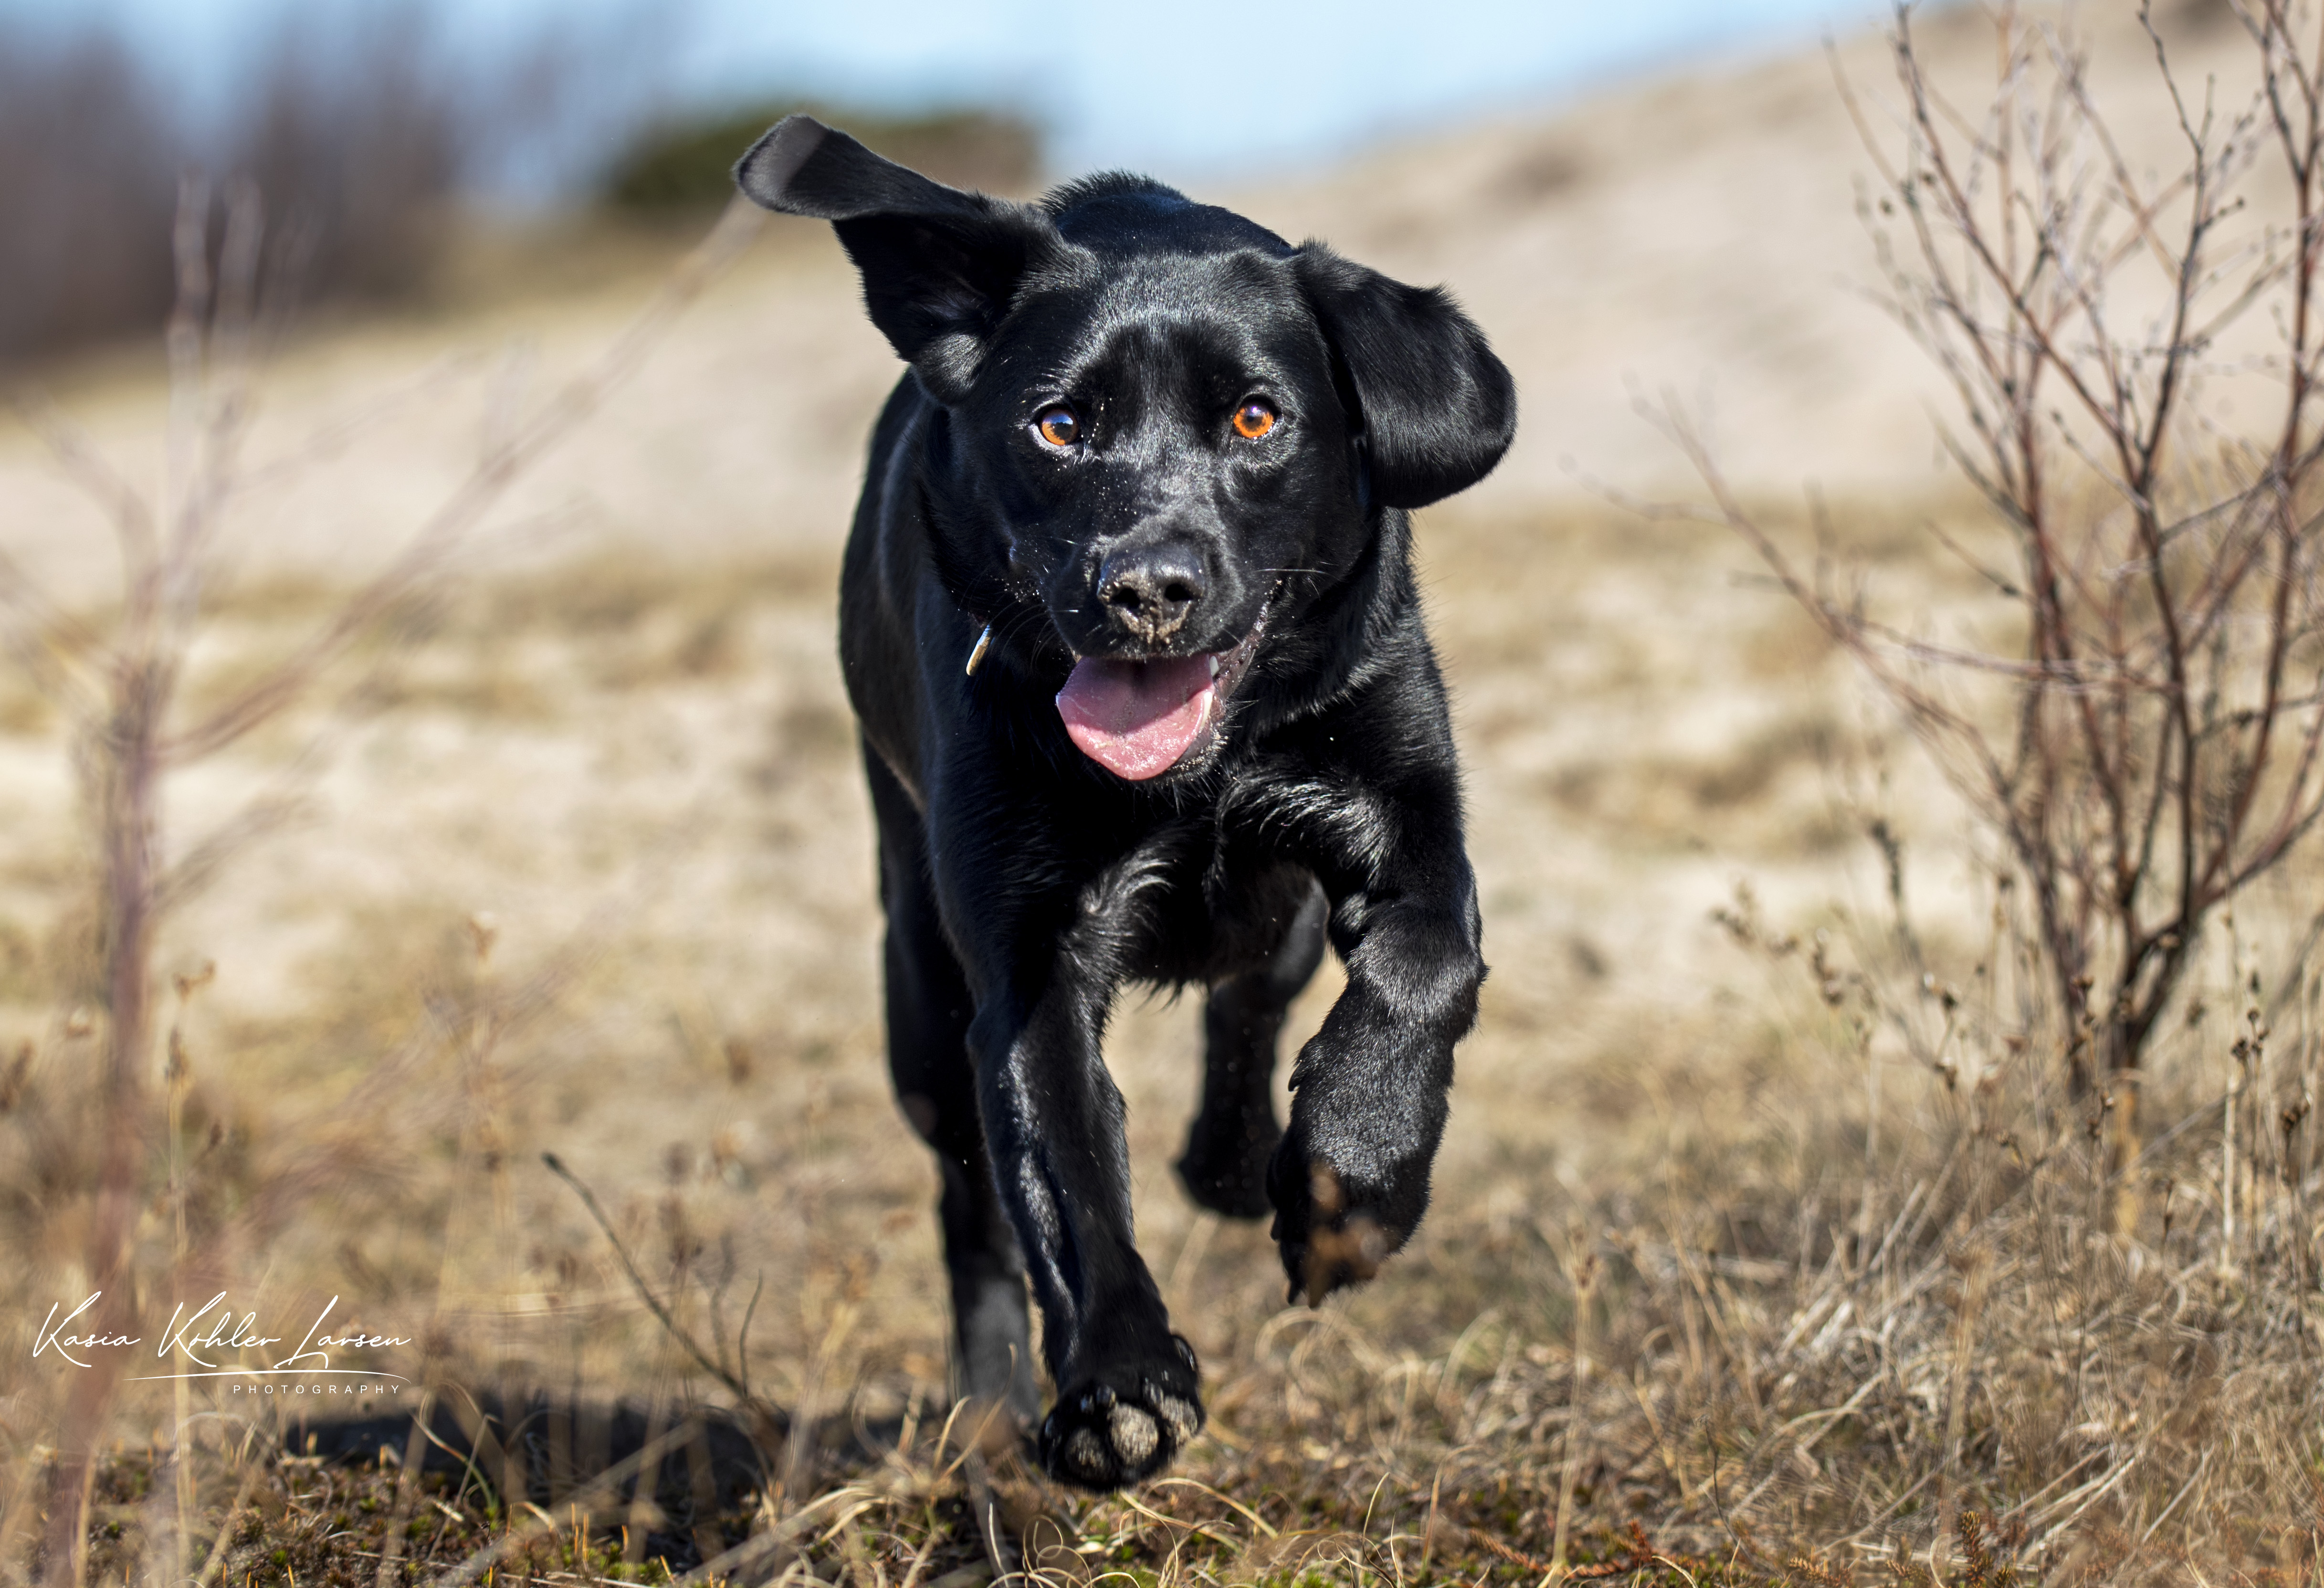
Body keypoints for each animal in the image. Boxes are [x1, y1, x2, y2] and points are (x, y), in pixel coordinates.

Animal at [733, 117, 1513, 1491]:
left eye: (1256, 416)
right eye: (1056, 425)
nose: (1143, 587)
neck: (1196, 770)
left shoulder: (1400, 814)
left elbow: (1423, 964)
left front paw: (1352, 1183)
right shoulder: (1024, 960)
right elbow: (1063, 1172)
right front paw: (1117, 1385)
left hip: (1276, 912)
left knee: (1253, 1002)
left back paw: (1241, 1162)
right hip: (918, 993)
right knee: (969, 1203)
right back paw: (990, 1409)